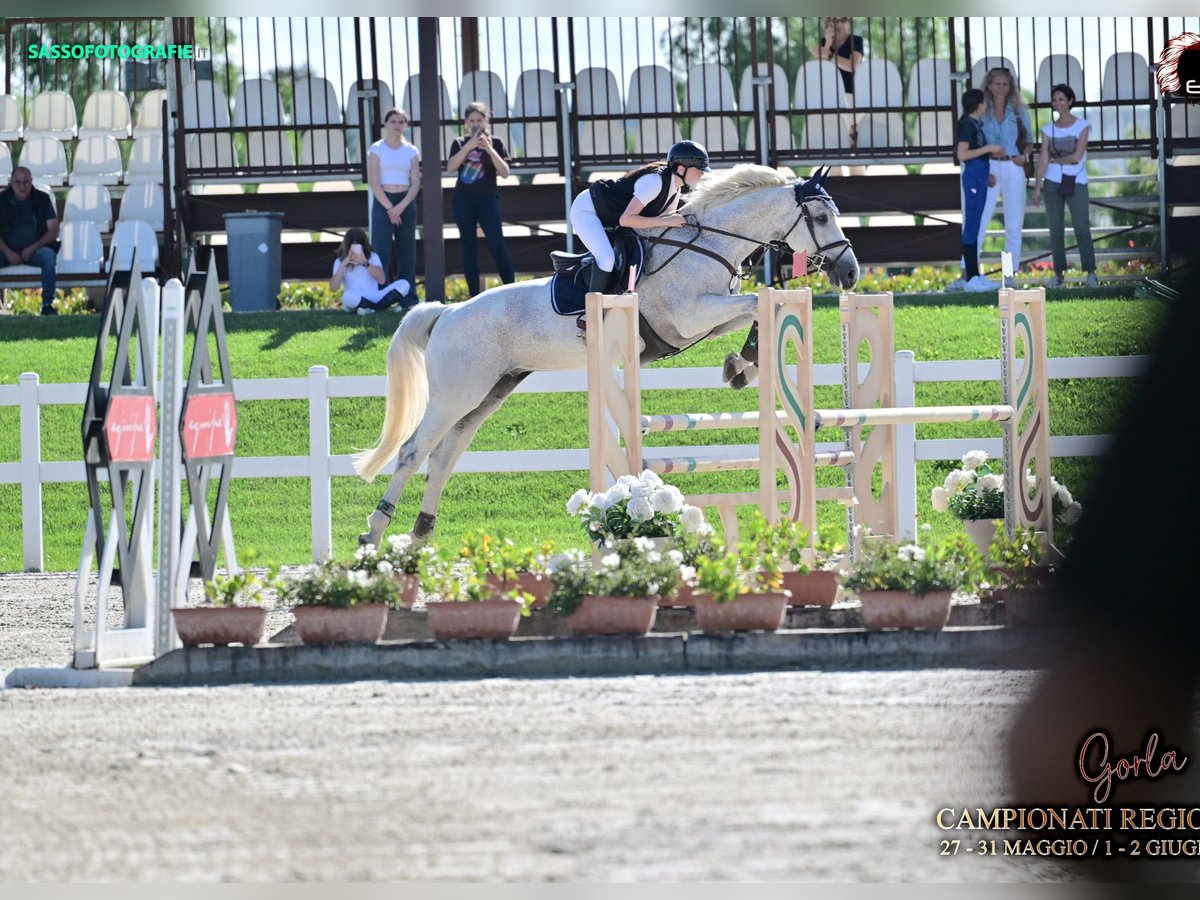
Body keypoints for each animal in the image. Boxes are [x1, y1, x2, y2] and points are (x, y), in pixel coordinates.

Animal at [350, 163, 859, 547]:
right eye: (820, 217)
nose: (851, 273)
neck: (709, 245)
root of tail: (447, 311)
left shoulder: (709, 318)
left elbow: (754, 310)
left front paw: (741, 366)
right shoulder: (690, 315)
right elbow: (756, 303)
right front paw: (741, 366)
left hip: (488, 394)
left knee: (443, 457)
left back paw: (421, 533)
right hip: (456, 393)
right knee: (413, 451)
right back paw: (373, 533)